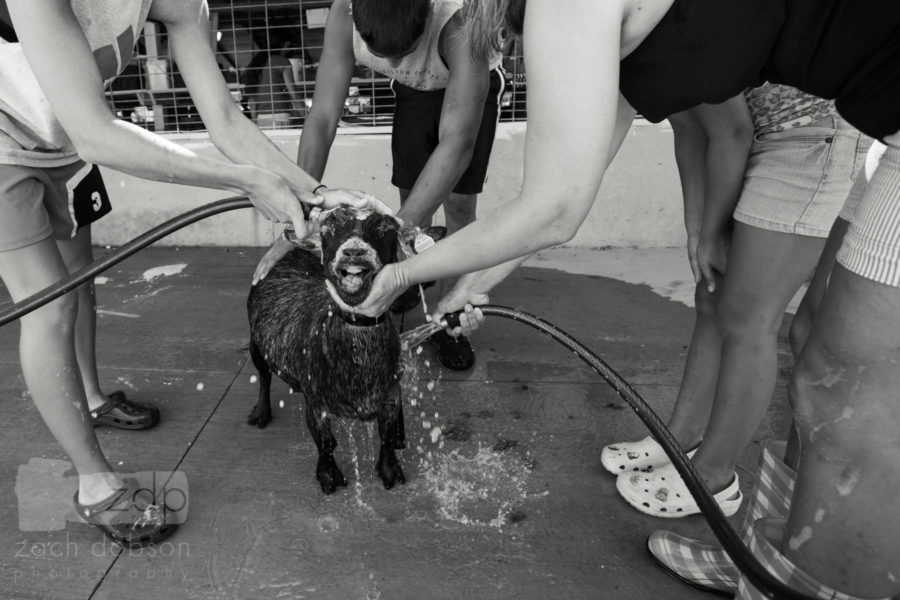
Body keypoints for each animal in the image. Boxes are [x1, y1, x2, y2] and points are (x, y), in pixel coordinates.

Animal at [246, 204, 442, 494]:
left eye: (387, 229)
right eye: (328, 229)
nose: (354, 251)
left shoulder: (390, 395)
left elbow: (386, 434)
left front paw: (390, 470)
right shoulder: (316, 403)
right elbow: (325, 442)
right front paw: (328, 476)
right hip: (256, 345)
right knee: (263, 376)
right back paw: (261, 412)